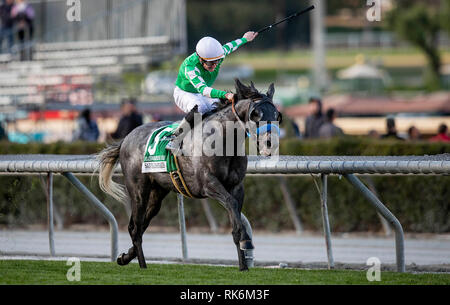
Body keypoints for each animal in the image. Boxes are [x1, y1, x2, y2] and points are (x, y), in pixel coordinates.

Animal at [97, 79, 282, 270]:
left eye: (277, 114)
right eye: (256, 113)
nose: (271, 144)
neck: (222, 140)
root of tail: (126, 138)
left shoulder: (237, 186)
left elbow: (235, 211)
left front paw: (243, 263)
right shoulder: (208, 184)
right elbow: (231, 205)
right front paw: (244, 248)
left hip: (157, 192)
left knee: (141, 225)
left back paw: (125, 257)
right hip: (138, 189)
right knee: (135, 227)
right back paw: (142, 265)